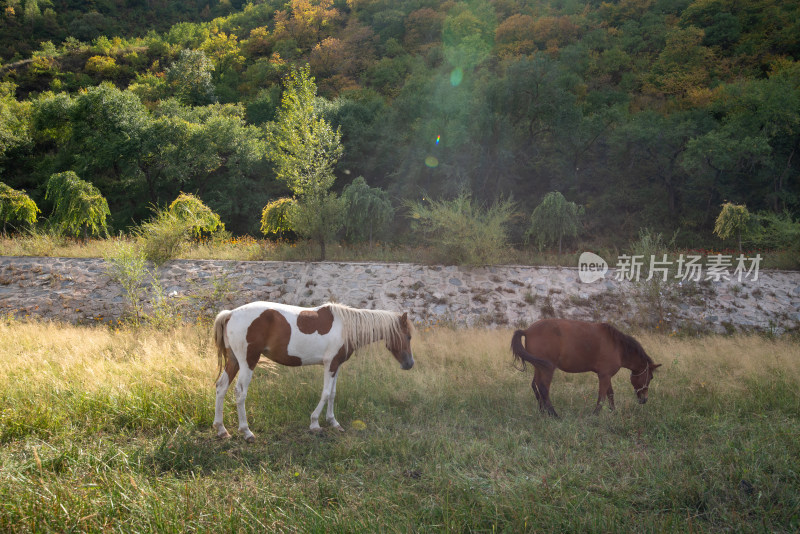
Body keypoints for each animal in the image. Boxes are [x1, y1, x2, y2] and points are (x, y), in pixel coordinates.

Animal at [211, 304, 412, 442]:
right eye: (408, 336)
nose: (410, 364)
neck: (346, 327)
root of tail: (230, 314)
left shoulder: (336, 365)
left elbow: (332, 393)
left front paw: (333, 422)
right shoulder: (329, 364)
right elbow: (325, 394)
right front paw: (315, 424)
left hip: (234, 361)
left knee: (221, 387)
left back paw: (221, 430)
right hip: (248, 362)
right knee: (240, 392)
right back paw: (246, 432)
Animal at [512, 318, 664, 418]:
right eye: (650, 377)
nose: (644, 400)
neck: (618, 347)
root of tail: (527, 330)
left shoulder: (606, 375)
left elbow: (610, 394)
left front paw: (613, 411)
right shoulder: (604, 376)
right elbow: (602, 396)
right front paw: (595, 415)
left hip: (539, 367)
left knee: (535, 385)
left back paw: (542, 411)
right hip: (547, 369)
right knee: (543, 388)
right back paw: (554, 415)